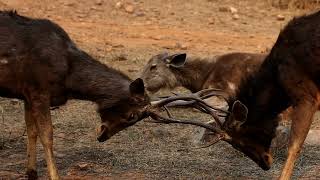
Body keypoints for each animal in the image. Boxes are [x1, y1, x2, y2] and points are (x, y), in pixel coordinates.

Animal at [0, 10, 221, 180]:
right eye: (132, 116)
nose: (103, 136)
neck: (69, 78)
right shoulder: (39, 91)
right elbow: (47, 135)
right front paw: (54, 176)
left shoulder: (27, 94)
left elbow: (31, 131)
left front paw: (31, 173)